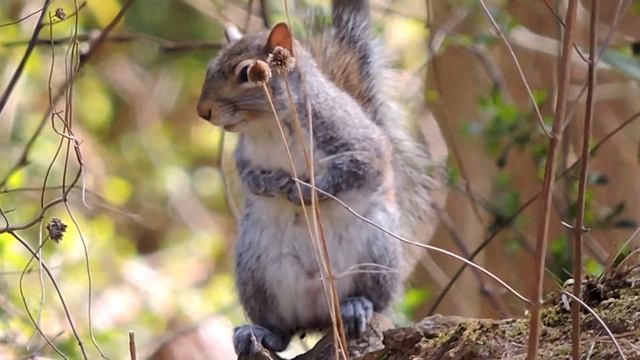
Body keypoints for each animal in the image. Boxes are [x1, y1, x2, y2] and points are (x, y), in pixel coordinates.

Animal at [198, 0, 442, 356]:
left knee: (375, 301)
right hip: (255, 273)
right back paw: (261, 332)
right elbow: (247, 176)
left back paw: (357, 306)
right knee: (282, 330)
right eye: (209, 68)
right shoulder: (243, 155)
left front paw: (306, 189)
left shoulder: (359, 144)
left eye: (246, 73)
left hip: (377, 253)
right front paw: (269, 184)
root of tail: (319, 313)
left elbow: (358, 167)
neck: (268, 125)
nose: (203, 112)